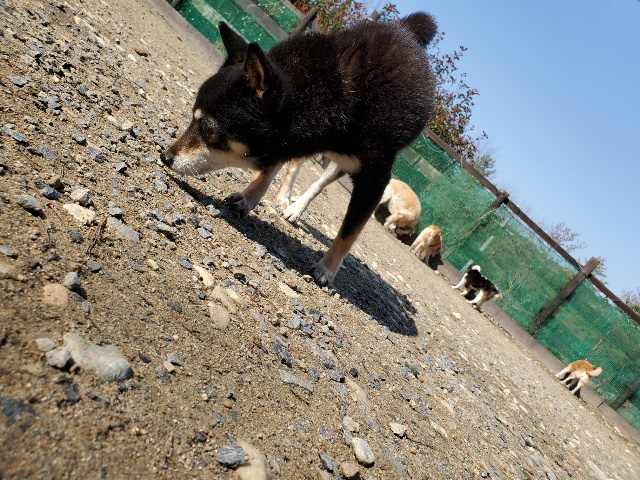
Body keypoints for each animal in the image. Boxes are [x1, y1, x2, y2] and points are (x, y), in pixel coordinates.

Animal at [160, 14, 437, 286]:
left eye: (207, 128)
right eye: (192, 117)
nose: (165, 156)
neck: (339, 93)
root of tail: (406, 28)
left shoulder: (374, 179)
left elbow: (348, 232)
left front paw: (327, 269)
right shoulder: (289, 140)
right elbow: (271, 168)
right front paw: (249, 197)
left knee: (320, 181)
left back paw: (297, 209)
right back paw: (281, 202)